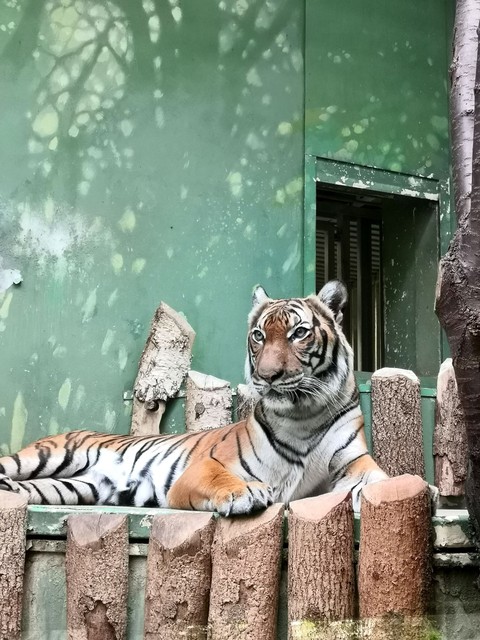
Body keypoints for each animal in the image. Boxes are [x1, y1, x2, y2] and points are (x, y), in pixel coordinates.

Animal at [0, 280, 388, 515]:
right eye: (259, 335)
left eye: (299, 333)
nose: (266, 376)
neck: (303, 415)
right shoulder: (204, 467)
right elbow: (223, 479)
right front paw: (244, 493)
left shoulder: (354, 463)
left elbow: (380, 480)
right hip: (47, 456)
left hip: (72, 487)